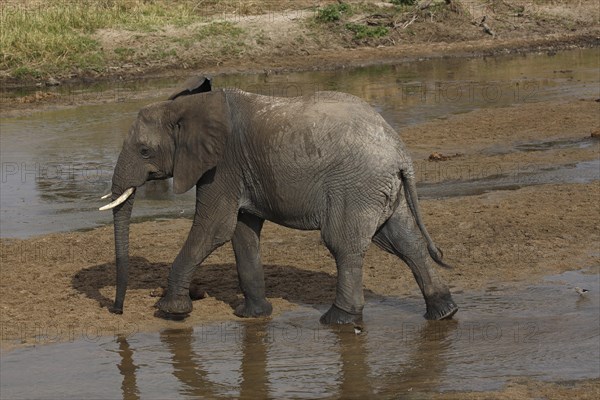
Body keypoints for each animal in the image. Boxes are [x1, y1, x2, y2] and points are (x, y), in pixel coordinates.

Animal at [102, 76, 460, 324]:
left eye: (144, 151)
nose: (117, 310)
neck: (188, 106)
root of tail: (400, 152)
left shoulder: (223, 167)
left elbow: (214, 229)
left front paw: (170, 312)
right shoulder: (240, 172)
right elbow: (242, 232)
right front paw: (252, 315)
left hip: (356, 185)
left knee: (343, 244)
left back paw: (338, 319)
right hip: (381, 187)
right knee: (403, 240)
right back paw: (444, 312)